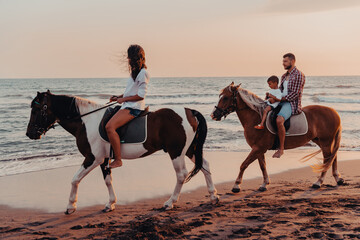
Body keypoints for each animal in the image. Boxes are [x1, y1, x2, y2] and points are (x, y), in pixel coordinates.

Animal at [26, 91, 219, 215]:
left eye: (36, 110)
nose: (30, 134)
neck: (86, 121)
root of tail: (189, 111)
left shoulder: (93, 158)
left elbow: (75, 179)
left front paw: (70, 206)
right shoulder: (104, 159)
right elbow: (108, 180)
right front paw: (110, 204)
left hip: (176, 151)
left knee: (181, 175)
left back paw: (170, 203)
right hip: (189, 149)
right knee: (205, 165)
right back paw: (213, 196)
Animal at [211, 83, 344, 192]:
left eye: (225, 97)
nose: (214, 115)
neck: (256, 118)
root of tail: (334, 112)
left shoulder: (258, 148)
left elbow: (243, 164)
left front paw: (236, 185)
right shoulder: (258, 149)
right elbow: (262, 166)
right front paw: (264, 184)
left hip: (326, 142)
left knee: (328, 159)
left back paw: (318, 182)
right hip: (321, 141)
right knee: (332, 157)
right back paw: (338, 179)